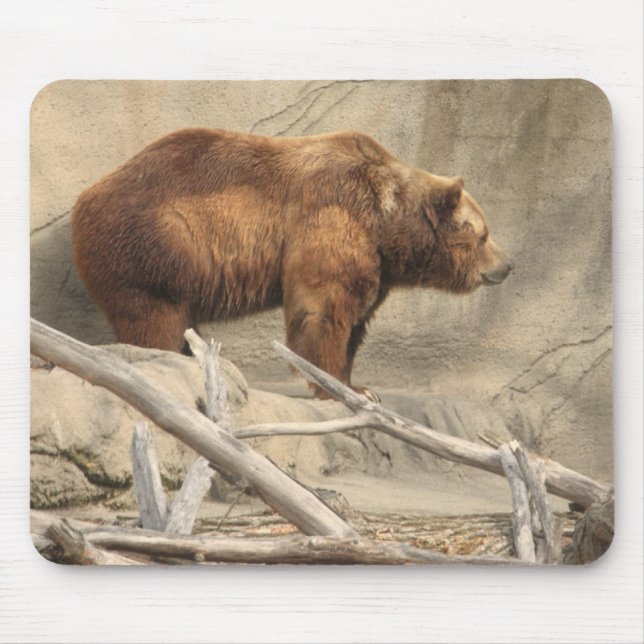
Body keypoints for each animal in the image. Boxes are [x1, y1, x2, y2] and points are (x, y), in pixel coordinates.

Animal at [71, 128, 512, 397]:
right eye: (483, 234)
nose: (507, 265)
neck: (385, 221)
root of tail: (85, 198)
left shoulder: (376, 263)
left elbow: (356, 319)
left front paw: (359, 385)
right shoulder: (332, 220)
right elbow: (325, 307)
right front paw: (338, 386)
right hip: (159, 244)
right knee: (154, 316)